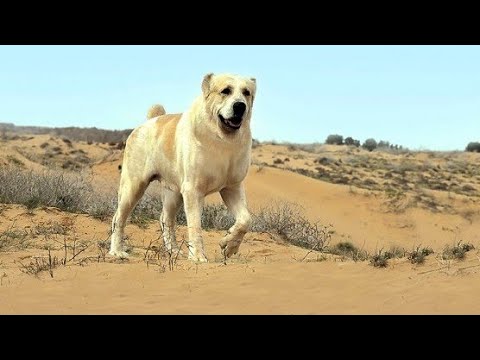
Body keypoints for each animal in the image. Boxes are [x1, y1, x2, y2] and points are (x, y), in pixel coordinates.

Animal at [109, 73, 256, 262]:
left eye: (246, 93)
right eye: (226, 91)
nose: (240, 106)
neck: (222, 141)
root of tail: (149, 121)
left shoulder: (232, 188)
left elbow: (245, 220)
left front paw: (229, 245)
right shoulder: (193, 190)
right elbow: (195, 225)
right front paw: (198, 256)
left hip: (174, 193)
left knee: (166, 219)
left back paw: (174, 251)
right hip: (134, 186)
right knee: (118, 218)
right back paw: (117, 251)